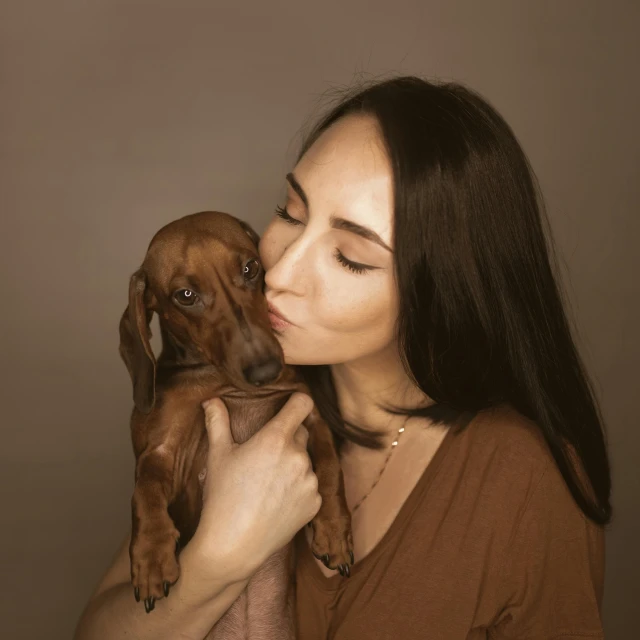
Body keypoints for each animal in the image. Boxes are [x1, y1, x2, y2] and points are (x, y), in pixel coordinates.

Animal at [117, 212, 352, 636]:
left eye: (250, 268)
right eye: (185, 296)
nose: (266, 369)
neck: (221, 381)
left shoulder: (309, 412)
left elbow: (329, 466)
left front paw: (334, 529)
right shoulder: (162, 450)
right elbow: (144, 489)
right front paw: (151, 556)